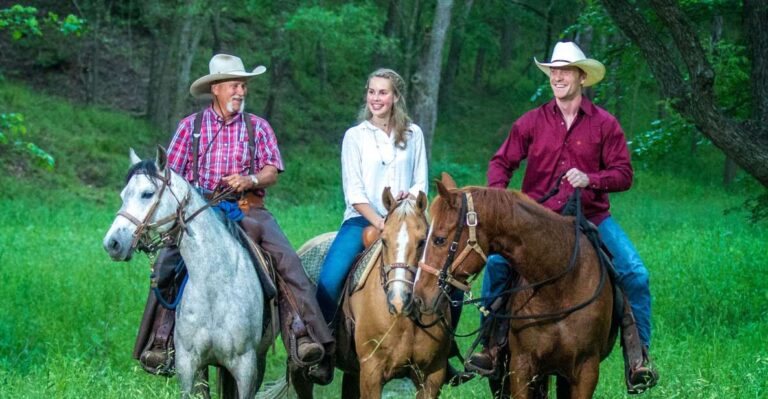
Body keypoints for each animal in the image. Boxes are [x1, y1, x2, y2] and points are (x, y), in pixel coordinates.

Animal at [102, 148, 270, 399]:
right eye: (123, 195)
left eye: (147, 193)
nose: (112, 243)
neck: (215, 285)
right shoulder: (188, 364)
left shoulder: (246, 366)